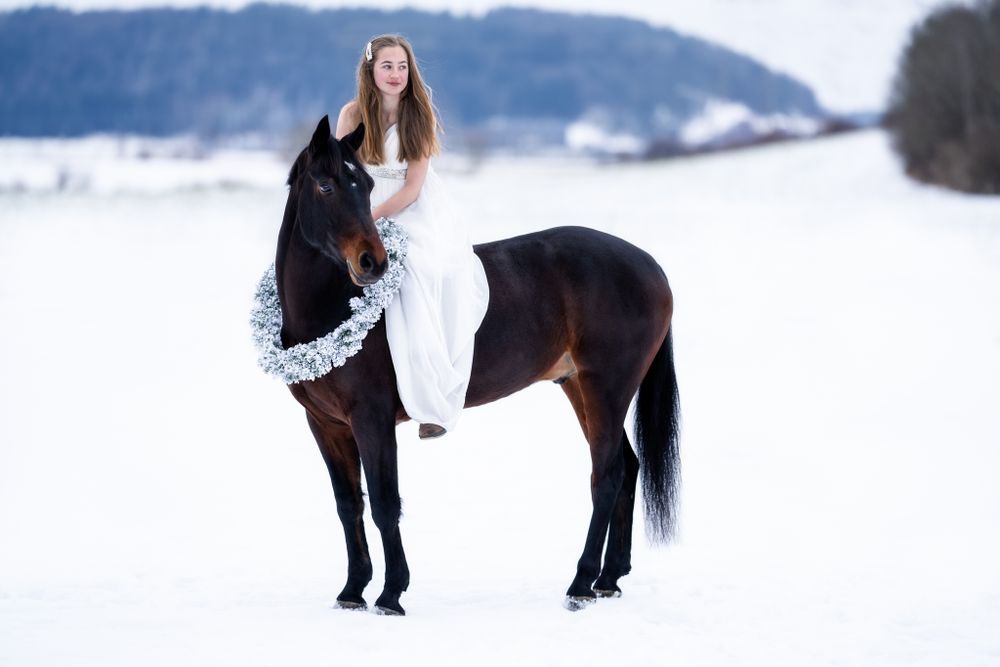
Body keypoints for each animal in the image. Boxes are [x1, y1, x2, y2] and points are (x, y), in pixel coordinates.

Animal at [274, 115, 679, 615]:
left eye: (366, 185)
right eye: (326, 185)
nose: (373, 263)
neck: (332, 309)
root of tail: (650, 265)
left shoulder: (371, 419)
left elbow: (386, 503)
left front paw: (391, 594)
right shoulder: (326, 424)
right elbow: (349, 505)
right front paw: (352, 591)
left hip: (607, 387)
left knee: (606, 475)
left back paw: (581, 583)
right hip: (581, 388)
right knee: (626, 467)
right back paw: (608, 579)